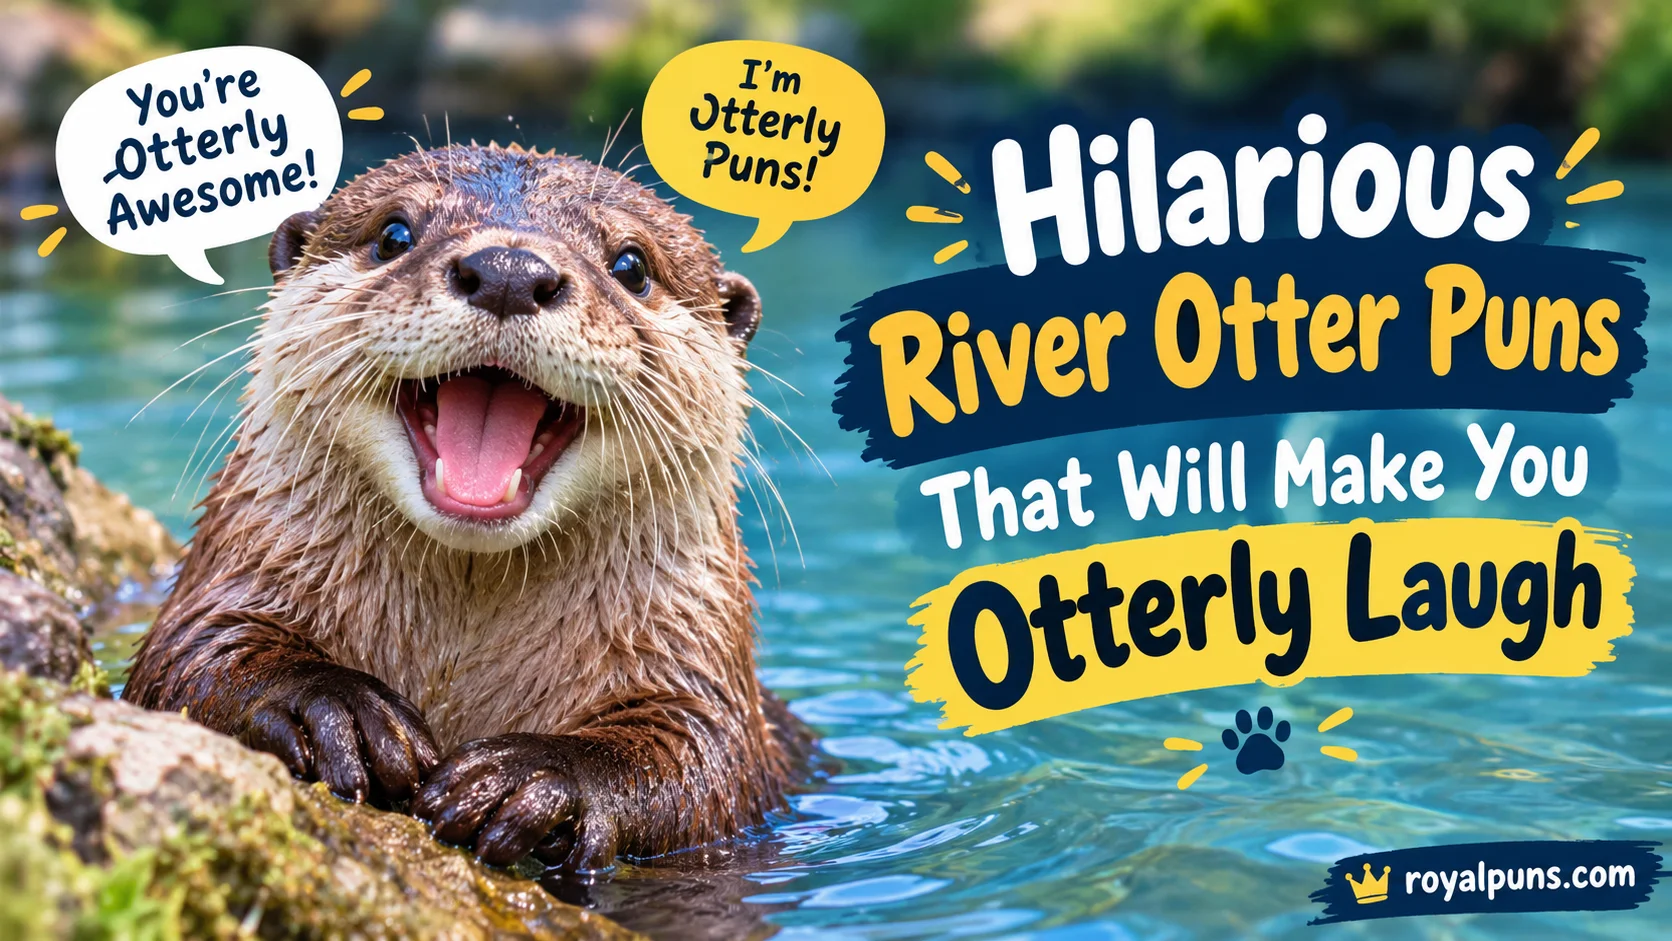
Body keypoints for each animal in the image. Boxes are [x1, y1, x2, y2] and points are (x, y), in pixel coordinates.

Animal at [126, 143, 808, 871]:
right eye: (394, 234)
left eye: (632, 266)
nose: (508, 272)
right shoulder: (242, 571)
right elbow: (196, 651)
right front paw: (336, 711)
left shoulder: (693, 659)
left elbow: (704, 754)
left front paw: (536, 777)